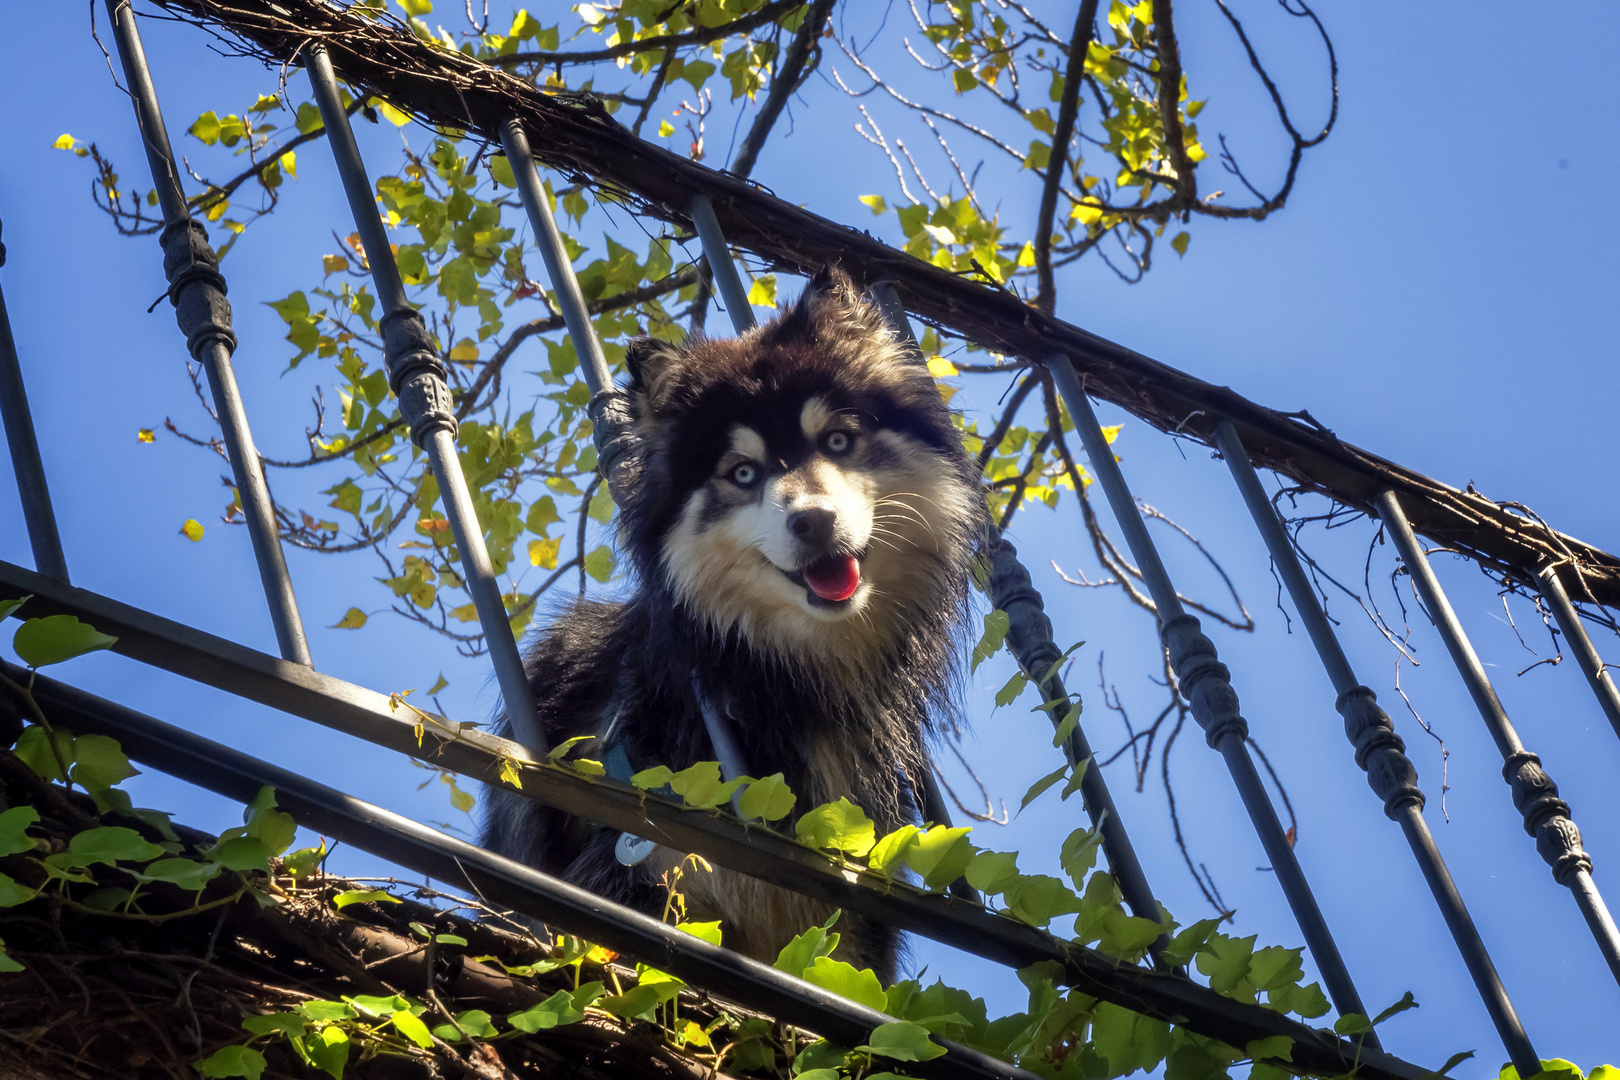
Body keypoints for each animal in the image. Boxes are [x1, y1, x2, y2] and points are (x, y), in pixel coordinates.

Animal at [479, 268, 978, 977]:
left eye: (838, 441)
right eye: (742, 473)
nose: (813, 521)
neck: (781, 681)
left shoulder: (850, 920)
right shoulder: (632, 871)